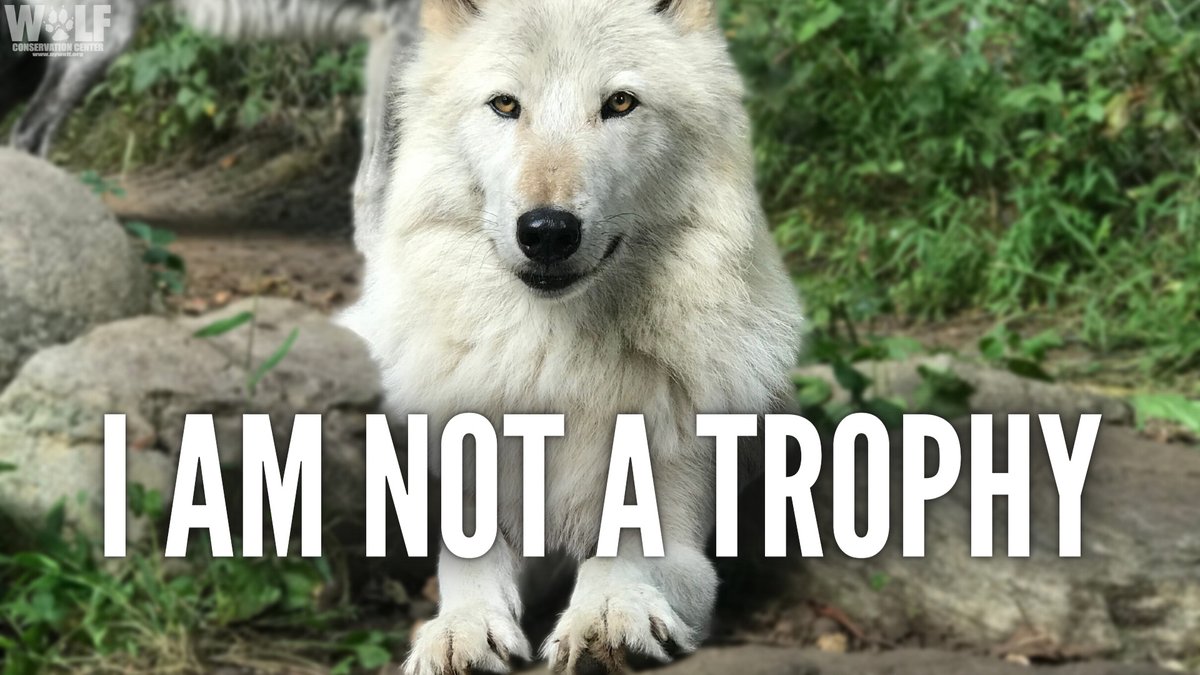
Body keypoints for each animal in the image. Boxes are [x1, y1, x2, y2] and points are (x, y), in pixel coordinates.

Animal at [340, 0, 804, 672]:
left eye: (620, 103)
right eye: (505, 104)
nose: (548, 231)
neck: (559, 361)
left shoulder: (677, 527)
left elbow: (623, 551)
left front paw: (608, 614)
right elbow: (467, 569)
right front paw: (460, 629)